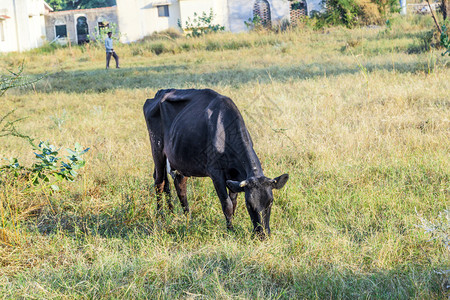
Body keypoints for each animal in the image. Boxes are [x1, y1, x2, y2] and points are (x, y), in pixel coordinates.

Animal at [142, 88, 288, 236]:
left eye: (270, 202)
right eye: (248, 204)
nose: (263, 234)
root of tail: (161, 92)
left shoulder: (234, 175)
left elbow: (233, 201)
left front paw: (232, 222)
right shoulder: (215, 173)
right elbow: (227, 203)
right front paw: (230, 231)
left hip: (179, 158)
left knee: (178, 184)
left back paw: (183, 216)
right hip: (157, 149)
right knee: (159, 182)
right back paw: (161, 216)